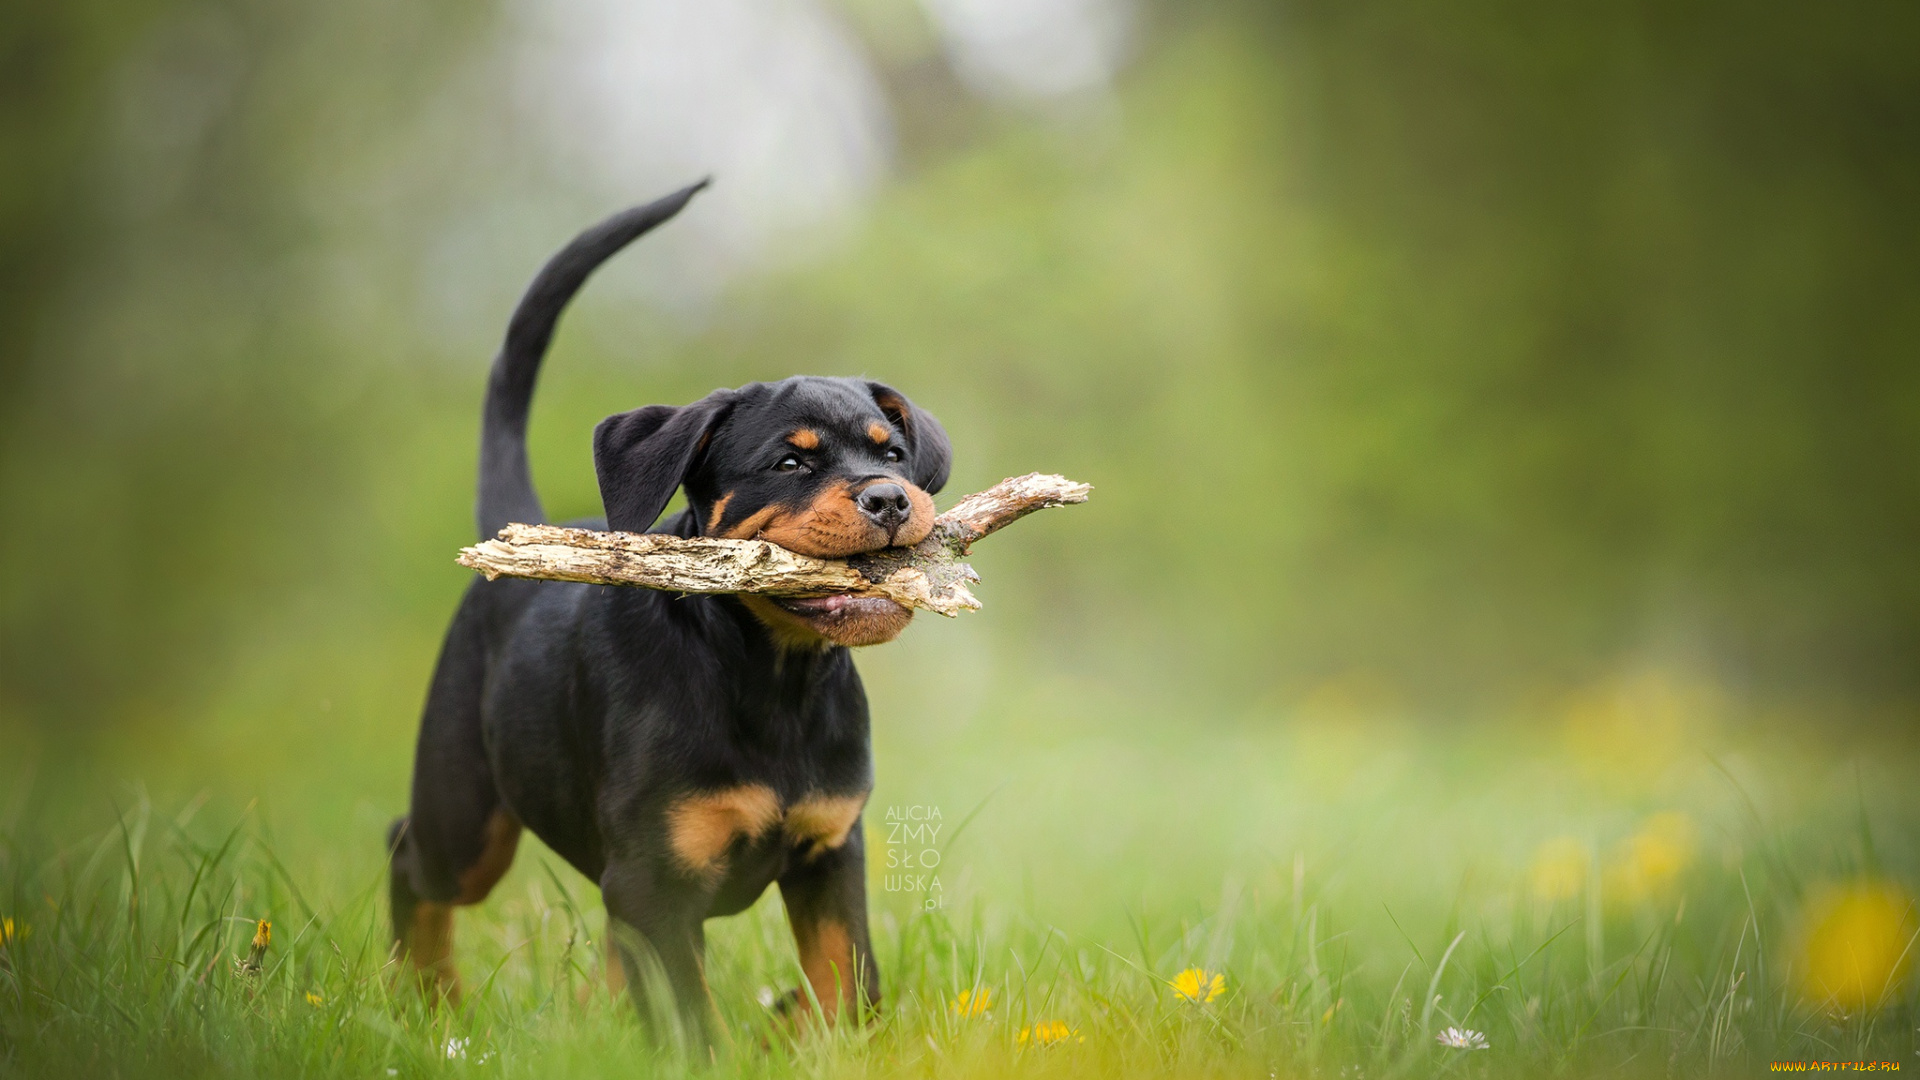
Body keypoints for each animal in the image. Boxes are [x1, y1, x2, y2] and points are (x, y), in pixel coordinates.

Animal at [389, 180, 952, 1037]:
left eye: (892, 452)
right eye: (790, 463)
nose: (890, 498)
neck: (774, 677)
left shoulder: (829, 849)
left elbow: (847, 980)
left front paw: (811, 1032)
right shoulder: (655, 878)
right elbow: (693, 1020)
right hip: (465, 813)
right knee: (411, 858)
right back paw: (425, 1001)